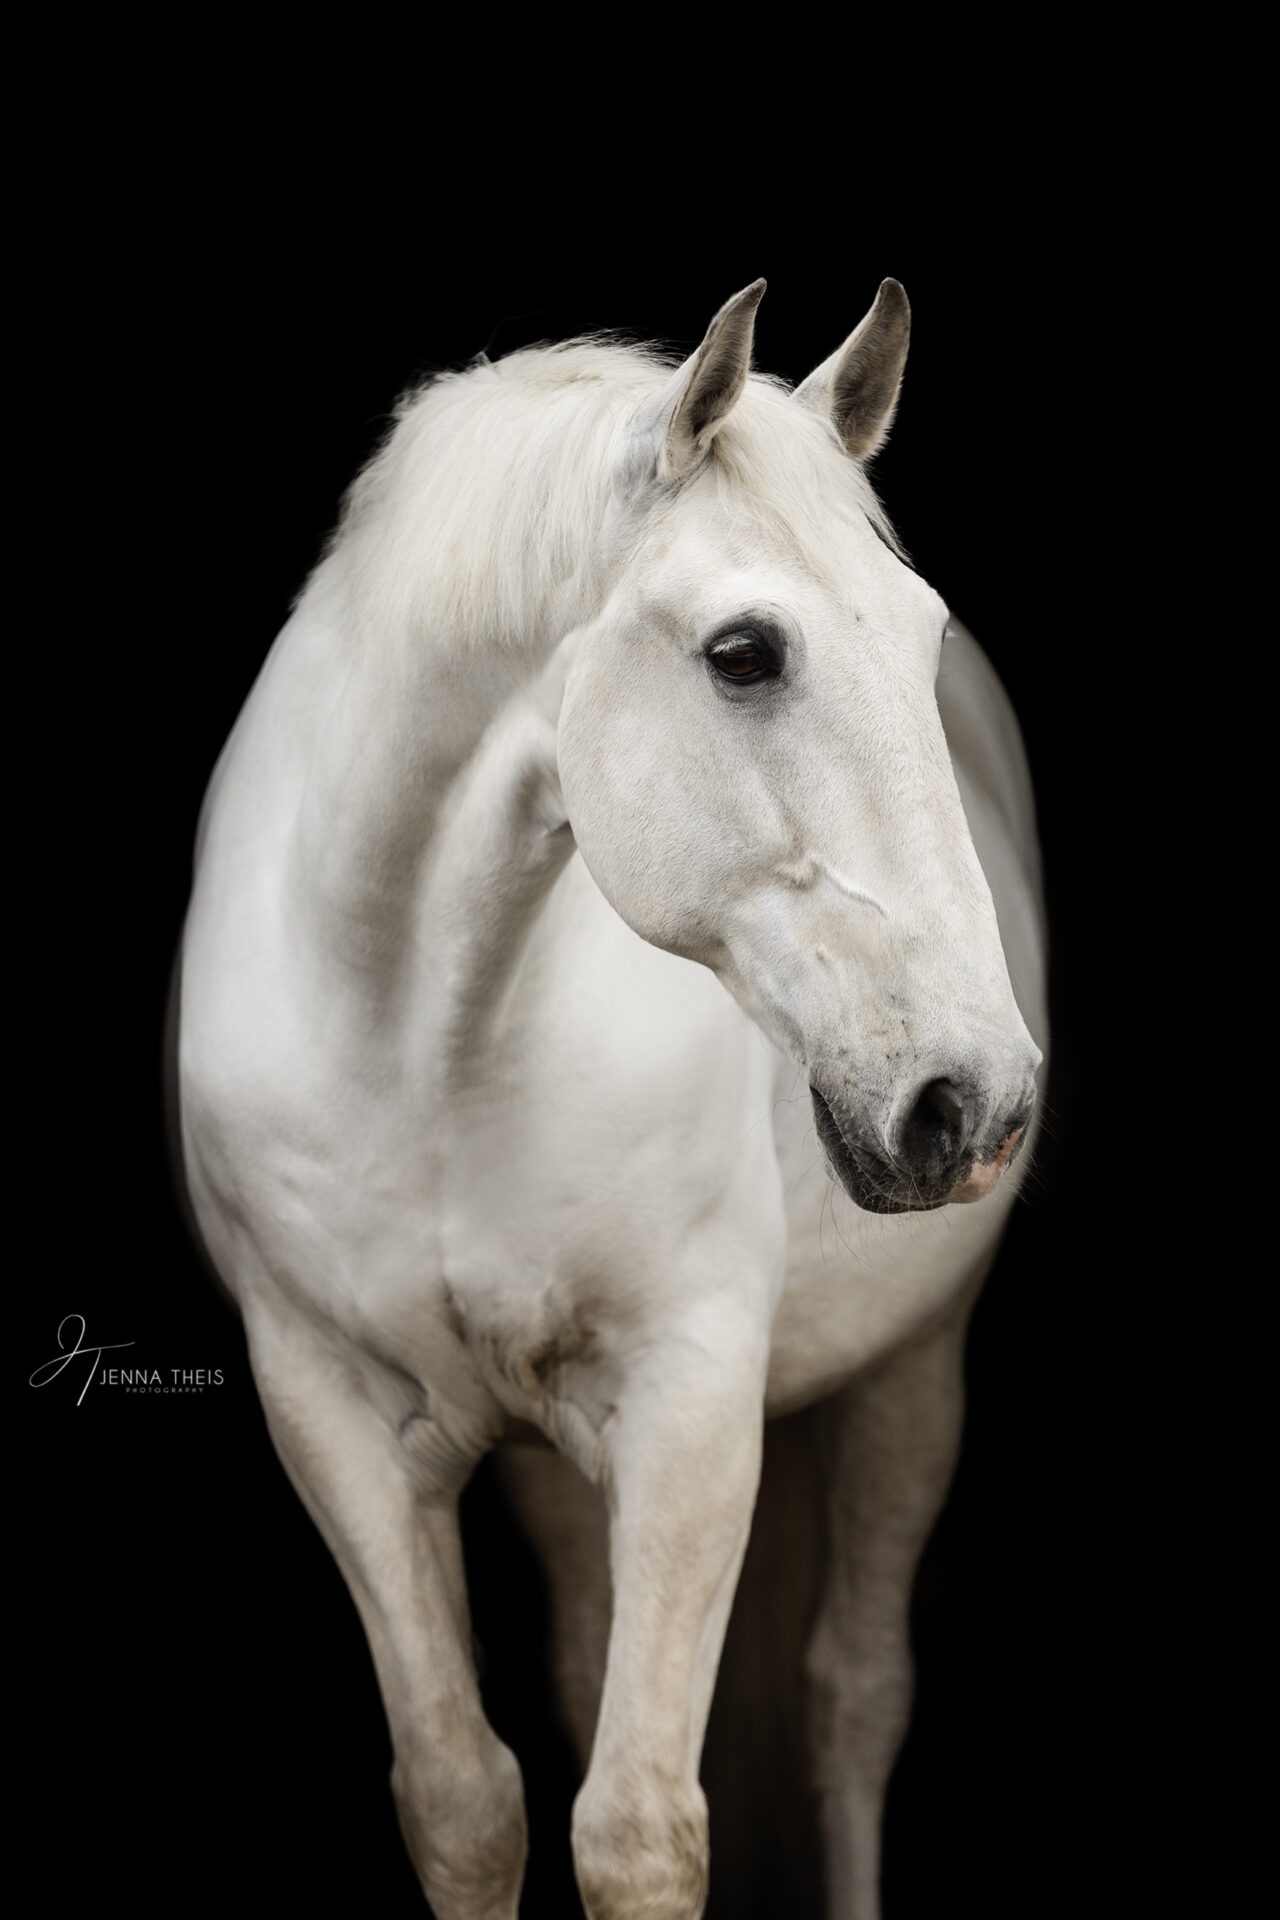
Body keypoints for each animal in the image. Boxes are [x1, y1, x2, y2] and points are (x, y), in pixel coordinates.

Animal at [175, 278, 1047, 1920]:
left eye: (923, 635)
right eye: (745, 652)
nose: (976, 1100)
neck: (424, 1043)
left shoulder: (689, 1408)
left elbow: (640, 1828)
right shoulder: (325, 1406)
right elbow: (466, 1799)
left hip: (910, 1371)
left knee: (853, 1701)